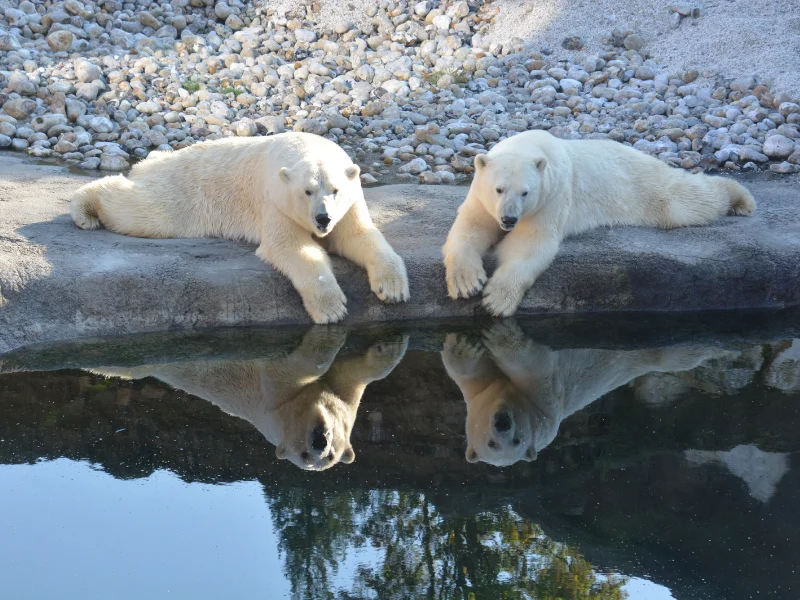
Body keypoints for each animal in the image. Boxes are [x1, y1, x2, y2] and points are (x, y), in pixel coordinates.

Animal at [70, 132, 409, 324]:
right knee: (145, 211)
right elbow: (291, 247)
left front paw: (392, 289)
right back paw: (84, 209)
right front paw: (331, 308)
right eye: (307, 191)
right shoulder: (275, 200)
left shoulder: (350, 204)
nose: (323, 218)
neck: (308, 148)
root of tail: (152, 161)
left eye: (335, 190)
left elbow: (358, 236)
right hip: (184, 190)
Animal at [89, 328, 409, 471]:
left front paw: (390, 345)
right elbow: (292, 367)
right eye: (303, 456)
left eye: (330, 456)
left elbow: (355, 376)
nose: (319, 442)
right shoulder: (273, 401)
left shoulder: (344, 398)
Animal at [441, 321, 732, 467]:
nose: (503, 422)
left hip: (655, 352)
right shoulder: (479, 394)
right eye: (491, 445)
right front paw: (465, 343)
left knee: (681, 354)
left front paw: (500, 334)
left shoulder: (544, 405)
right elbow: (469, 370)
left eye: (517, 441)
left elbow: (535, 366)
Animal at [443, 129, 756, 317]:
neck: (530, 147)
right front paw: (467, 283)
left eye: (525, 192)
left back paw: (740, 199)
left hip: (645, 185)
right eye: (498, 189)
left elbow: (530, 244)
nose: (508, 218)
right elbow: (470, 228)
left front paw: (497, 299)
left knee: (683, 201)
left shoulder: (552, 196)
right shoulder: (481, 197)